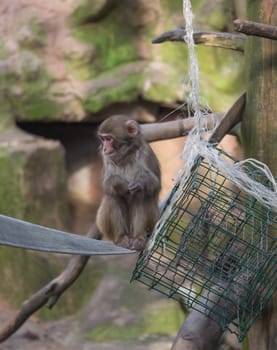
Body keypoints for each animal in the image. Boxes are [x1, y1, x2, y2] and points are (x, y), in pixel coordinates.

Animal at [95, 116, 161, 250]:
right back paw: (121, 238)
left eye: (108, 139)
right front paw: (119, 184)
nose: (103, 148)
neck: (126, 154)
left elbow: (155, 184)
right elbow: (107, 185)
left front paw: (141, 182)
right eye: (103, 139)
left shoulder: (145, 152)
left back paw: (139, 238)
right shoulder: (106, 158)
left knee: (141, 195)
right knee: (113, 197)